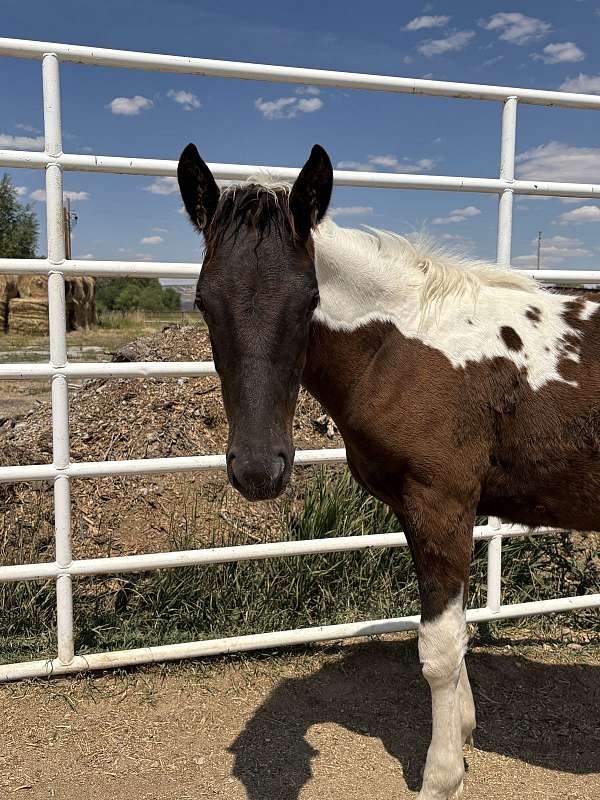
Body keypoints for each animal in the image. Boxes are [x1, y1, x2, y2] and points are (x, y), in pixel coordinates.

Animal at [177, 142, 600, 800]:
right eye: (202, 301)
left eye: (309, 300)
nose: (258, 470)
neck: (403, 344)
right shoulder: (423, 510)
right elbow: (452, 628)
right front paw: (466, 732)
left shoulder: (441, 503)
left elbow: (440, 647)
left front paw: (442, 776)